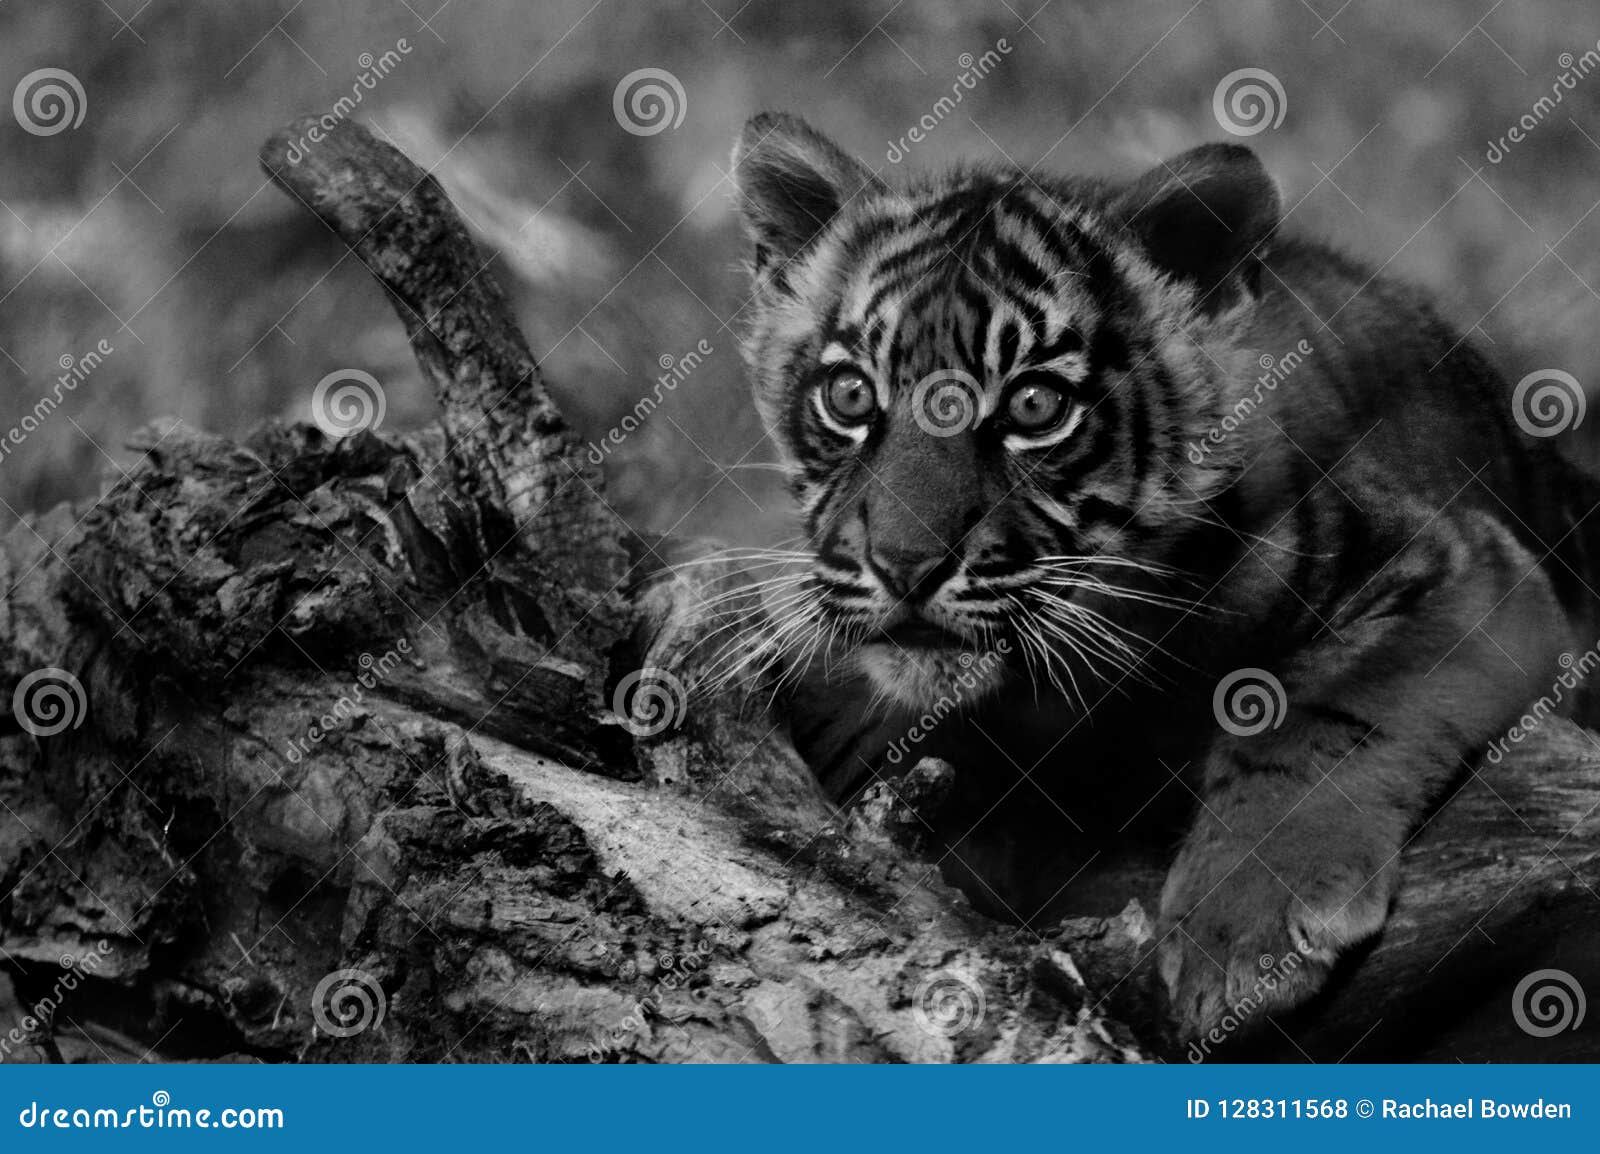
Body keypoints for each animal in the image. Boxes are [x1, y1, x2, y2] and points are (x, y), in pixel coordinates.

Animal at [718, 111, 1600, 1043]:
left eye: (1035, 406)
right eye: (851, 395)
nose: (904, 563)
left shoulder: (1463, 562)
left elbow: (1326, 706)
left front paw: (1249, 934)